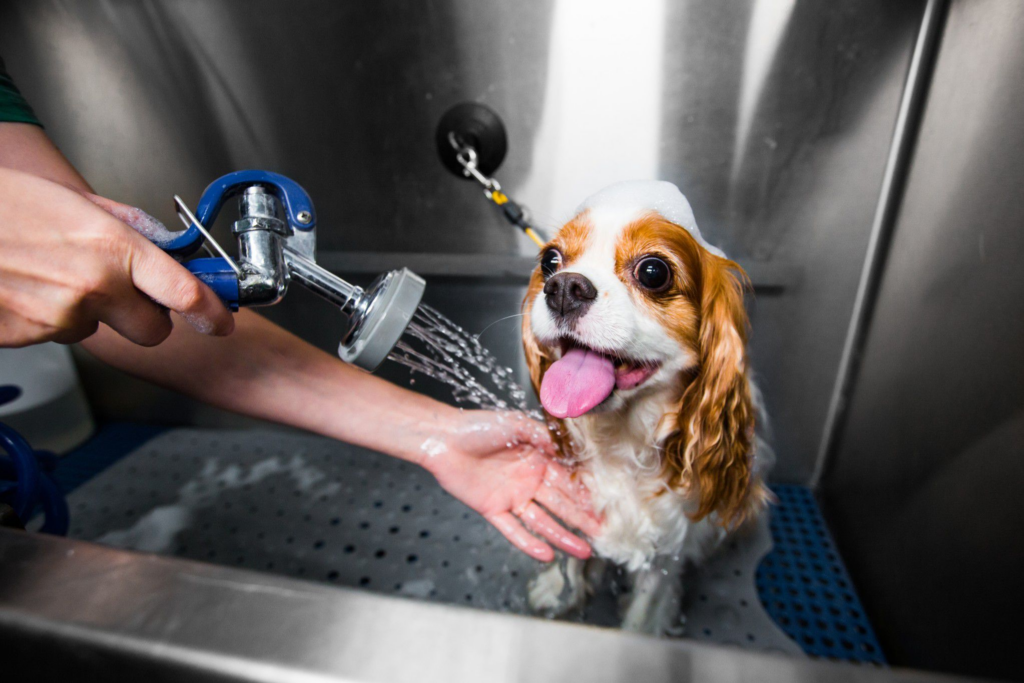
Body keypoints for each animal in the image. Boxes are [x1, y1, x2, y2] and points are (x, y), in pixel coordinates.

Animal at [524, 180, 770, 634]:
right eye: (550, 260)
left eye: (653, 272)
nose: (564, 288)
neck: (622, 441)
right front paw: (559, 587)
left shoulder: (669, 543)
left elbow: (648, 604)